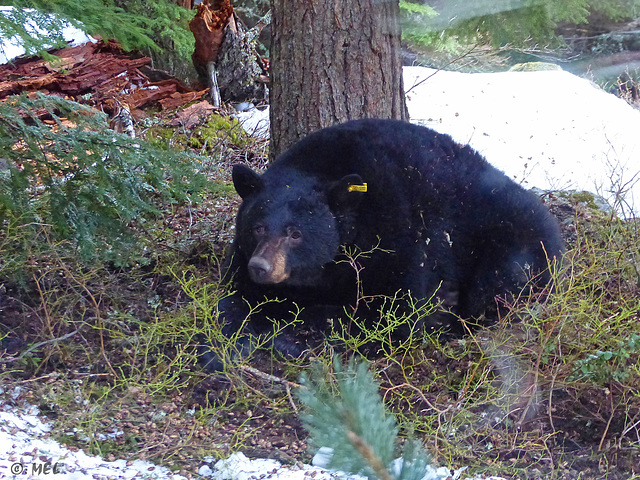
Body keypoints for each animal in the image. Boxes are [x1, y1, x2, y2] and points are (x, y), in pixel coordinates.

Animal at [202, 120, 564, 372]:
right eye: (257, 227)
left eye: (295, 233)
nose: (261, 267)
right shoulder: (242, 256)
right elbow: (232, 300)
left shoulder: (399, 238)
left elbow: (392, 313)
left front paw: (290, 331)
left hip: (513, 241)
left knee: (497, 289)